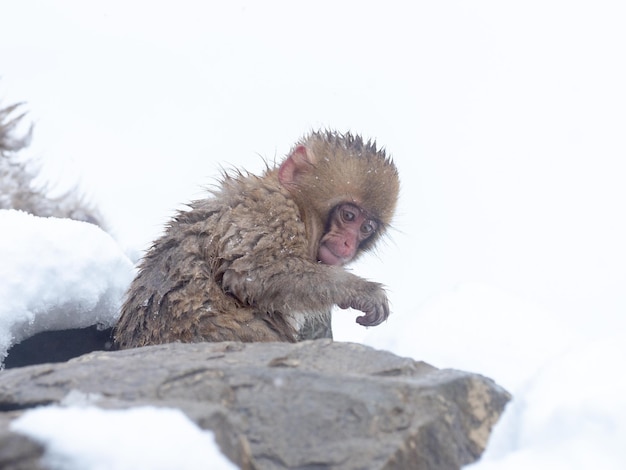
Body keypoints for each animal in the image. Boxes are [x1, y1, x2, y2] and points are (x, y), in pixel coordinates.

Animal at [114, 129, 398, 348]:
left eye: (366, 227)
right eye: (348, 215)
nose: (348, 243)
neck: (300, 208)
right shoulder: (271, 214)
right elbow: (257, 273)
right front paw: (363, 291)